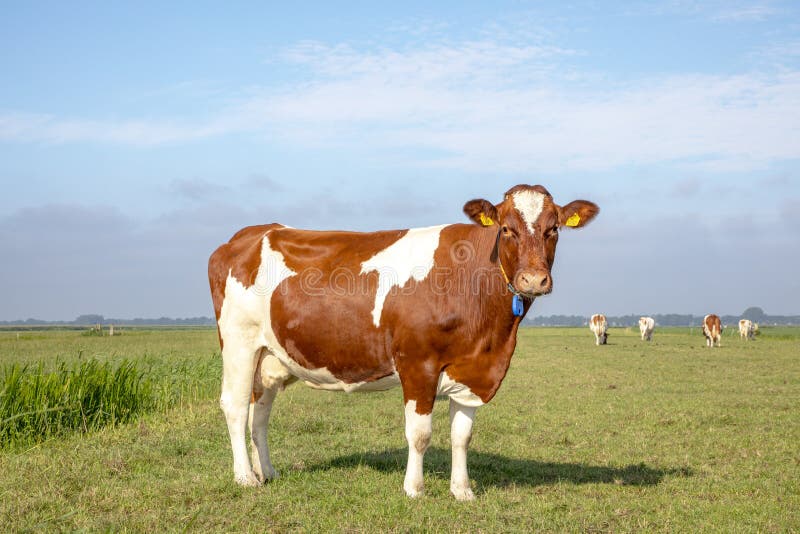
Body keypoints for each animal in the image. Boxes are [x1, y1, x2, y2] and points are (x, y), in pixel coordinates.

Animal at [209, 185, 596, 502]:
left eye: (554, 229)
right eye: (506, 228)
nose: (533, 279)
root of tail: (249, 234)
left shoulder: (473, 370)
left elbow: (462, 435)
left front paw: (462, 491)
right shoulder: (417, 363)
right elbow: (420, 433)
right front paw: (414, 489)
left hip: (270, 355)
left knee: (260, 412)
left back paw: (267, 472)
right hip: (239, 342)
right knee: (236, 406)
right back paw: (245, 478)